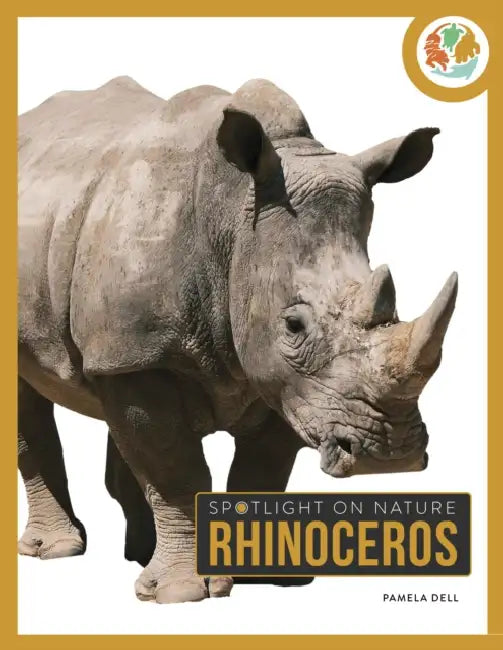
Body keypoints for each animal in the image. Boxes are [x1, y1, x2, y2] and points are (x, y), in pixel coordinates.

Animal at [18, 76, 457, 604]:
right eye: (294, 326)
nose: (390, 455)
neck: (229, 217)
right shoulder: (147, 355)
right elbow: (174, 469)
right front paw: (182, 593)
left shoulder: (284, 381)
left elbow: (262, 471)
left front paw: (270, 576)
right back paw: (57, 552)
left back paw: (138, 555)